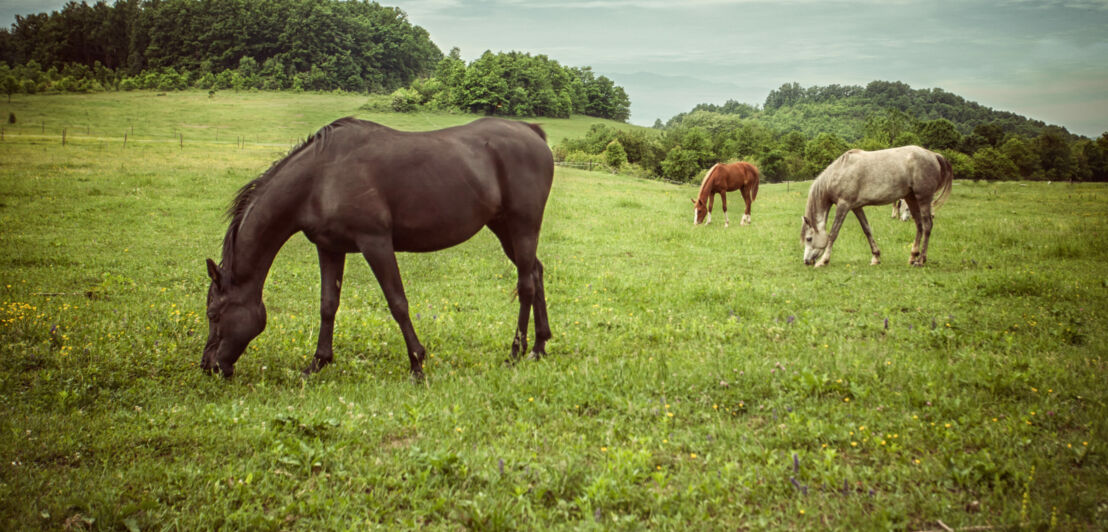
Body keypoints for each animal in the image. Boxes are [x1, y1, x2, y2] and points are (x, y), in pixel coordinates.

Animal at [200, 118, 554, 381]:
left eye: (213, 314)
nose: (209, 366)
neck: (319, 178)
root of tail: (531, 132)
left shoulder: (376, 243)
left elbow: (397, 303)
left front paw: (417, 364)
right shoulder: (330, 248)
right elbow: (328, 305)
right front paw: (317, 363)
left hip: (523, 227)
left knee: (525, 284)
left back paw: (516, 352)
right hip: (504, 229)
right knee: (536, 272)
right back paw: (540, 346)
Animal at [802, 145, 957, 268]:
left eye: (809, 238)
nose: (806, 261)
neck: (841, 171)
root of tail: (933, 155)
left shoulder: (843, 205)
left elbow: (833, 233)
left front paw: (823, 261)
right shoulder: (856, 207)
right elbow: (867, 230)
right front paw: (876, 257)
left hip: (923, 198)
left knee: (927, 226)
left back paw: (920, 260)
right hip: (911, 198)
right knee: (919, 225)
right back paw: (912, 257)